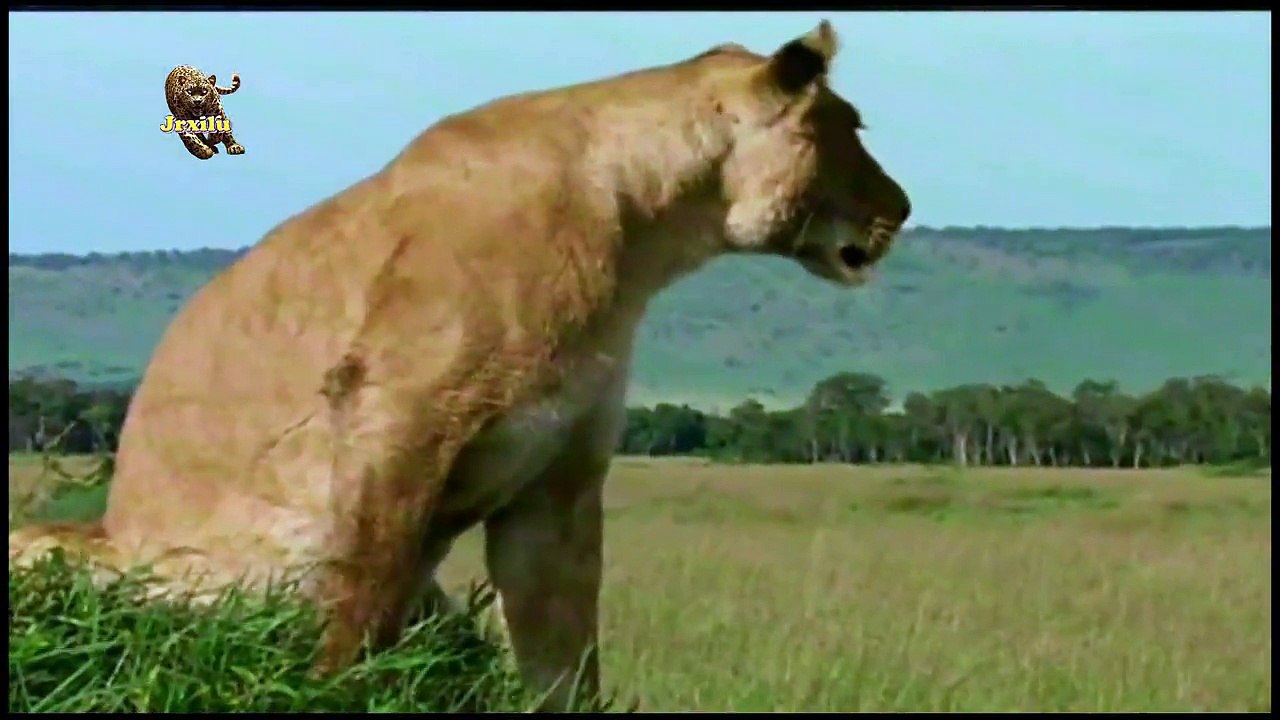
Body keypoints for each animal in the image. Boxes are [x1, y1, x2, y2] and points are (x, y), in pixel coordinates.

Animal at [11, 21, 910, 710]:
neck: (643, 232)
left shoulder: (560, 474)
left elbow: (562, 649)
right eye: (852, 130)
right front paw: (324, 693)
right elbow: (359, 603)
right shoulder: (395, 421)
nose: (901, 209)